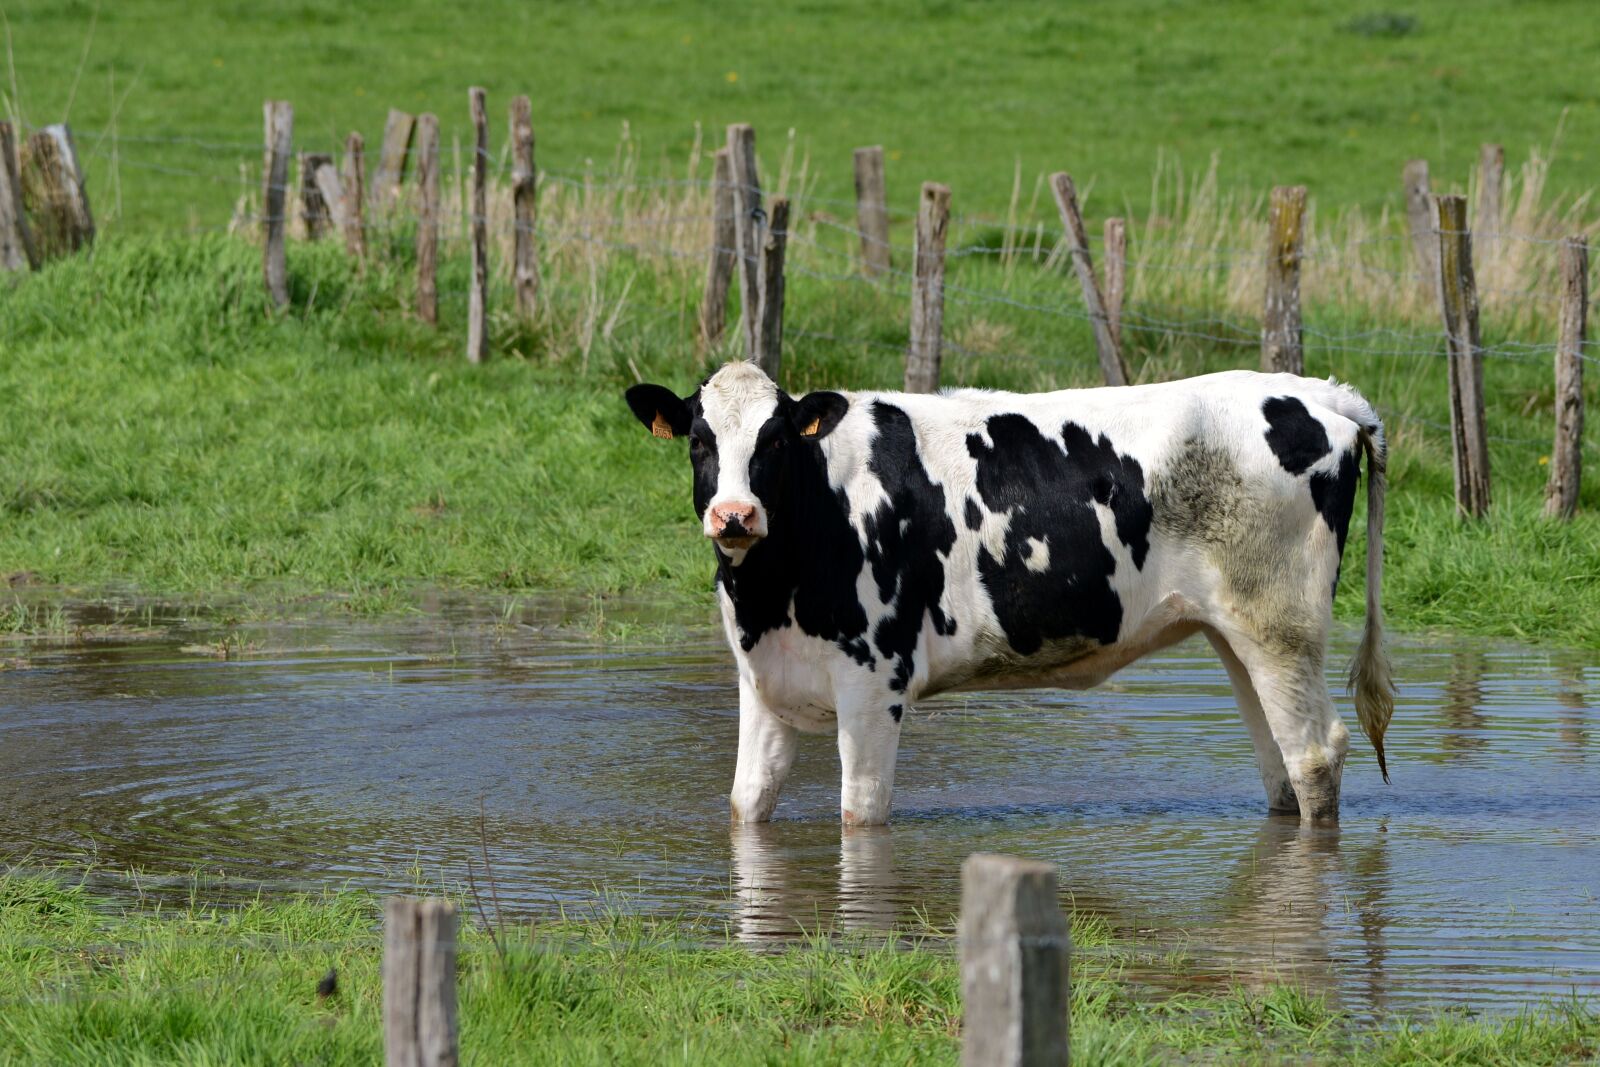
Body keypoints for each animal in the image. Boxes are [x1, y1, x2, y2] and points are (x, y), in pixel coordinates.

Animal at [625, 361, 1395, 826]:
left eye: (776, 441)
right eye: (698, 441)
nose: (734, 515)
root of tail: (1317, 393)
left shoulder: (875, 684)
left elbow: (861, 815)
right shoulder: (763, 681)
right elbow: (745, 805)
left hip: (1282, 624)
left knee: (1314, 754)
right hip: (1237, 630)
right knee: (1278, 761)